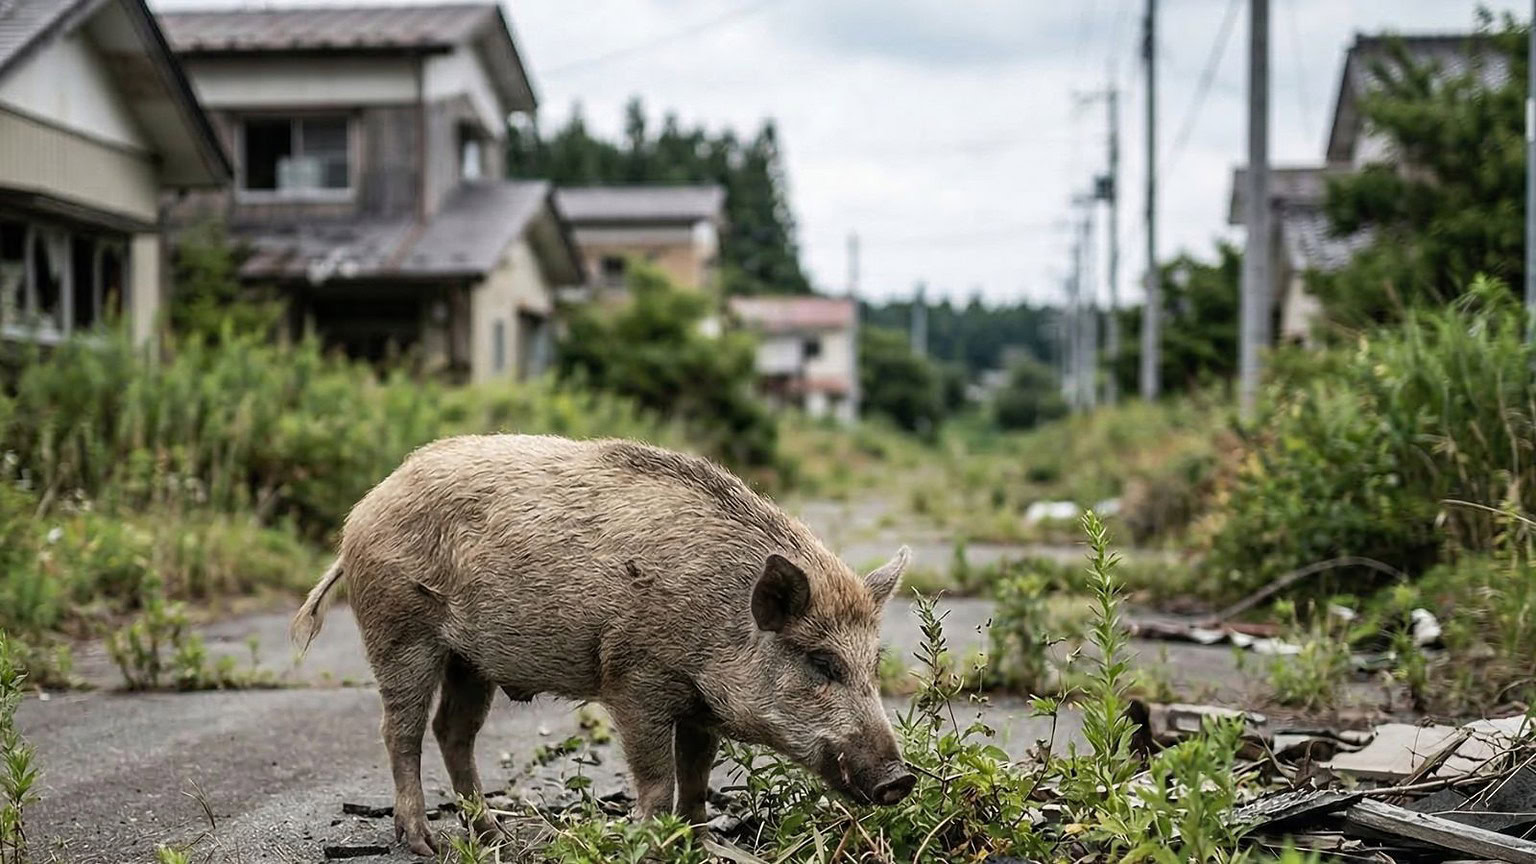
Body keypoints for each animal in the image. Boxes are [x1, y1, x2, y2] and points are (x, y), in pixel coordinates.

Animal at [292, 434, 915, 856]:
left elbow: (697, 777)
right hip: (401, 630)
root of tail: (359, 514)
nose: (900, 778)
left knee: (454, 731)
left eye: (872, 665)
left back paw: (494, 834)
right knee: (400, 730)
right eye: (821, 662)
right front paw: (656, 842)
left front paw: (698, 843)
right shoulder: (635, 680)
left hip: (470, 660)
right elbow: (658, 780)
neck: (721, 619)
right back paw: (425, 842)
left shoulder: (698, 707)